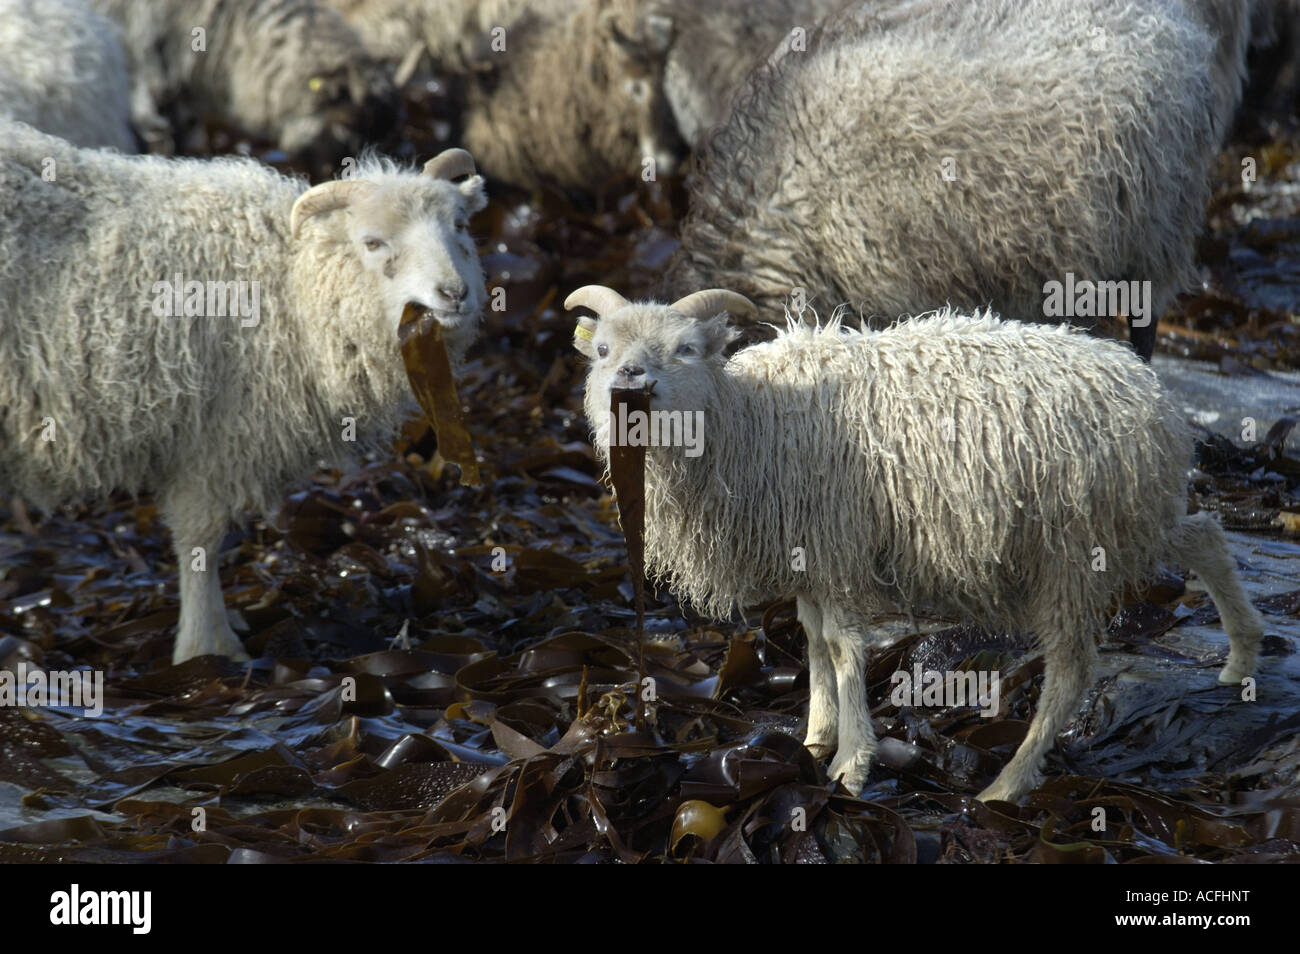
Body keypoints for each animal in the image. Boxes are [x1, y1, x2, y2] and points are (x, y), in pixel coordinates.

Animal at [0, 121, 488, 665]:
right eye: (373, 242)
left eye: (460, 227)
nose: (454, 294)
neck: (287, 286)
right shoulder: (214, 437)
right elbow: (201, 540)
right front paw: (205, 648)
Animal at [564, 285, 1263, 805]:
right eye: (601, 350)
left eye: (685, 350)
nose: (630, 381)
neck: (751, 417)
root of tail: (1155, 401)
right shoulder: (811, 556)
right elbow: (813, 642)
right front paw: (815, 740)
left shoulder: (837, 544)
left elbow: (843, 650)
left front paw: (851, 764)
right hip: (1132, 518)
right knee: (1203, 532)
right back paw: (1241, 655)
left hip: (1072, 546)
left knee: (1070, 672)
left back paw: (1008, 785)